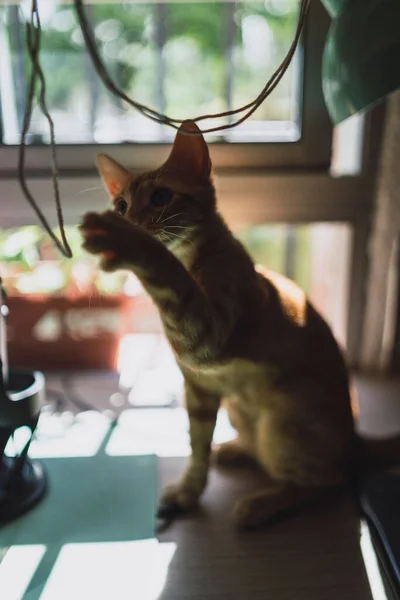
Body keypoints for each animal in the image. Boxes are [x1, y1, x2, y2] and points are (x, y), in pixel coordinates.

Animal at [80, 122, 400, 528]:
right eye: (121, 205)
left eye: (161, 197)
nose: (128, 220)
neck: (196, 260)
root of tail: (356, 440)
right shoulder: (198, 389)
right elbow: (197, 448)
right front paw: (188, 492)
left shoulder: (209, 336)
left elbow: (166, 269)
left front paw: (130, 242)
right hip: (238, 409)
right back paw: (238, 449)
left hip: (283, 423)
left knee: (328, 480)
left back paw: (262, 505)